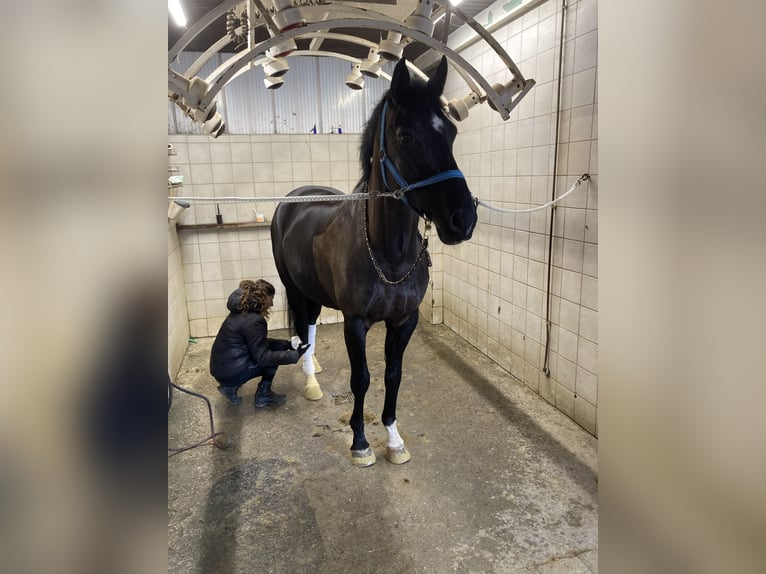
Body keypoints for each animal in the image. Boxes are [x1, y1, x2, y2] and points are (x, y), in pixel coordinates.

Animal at [270, 56, 474, 468]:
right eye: (406, 136)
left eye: (452, 132)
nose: (464, 219)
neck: (388, 255)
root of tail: (294, 198)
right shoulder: (356, 322)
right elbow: (361, 378)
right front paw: (360, 443)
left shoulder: (405, 320)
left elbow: (393, 375)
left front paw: (394, 440)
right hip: (294, 287)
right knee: (304, 327)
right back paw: (311, 380)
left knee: (310, 329)